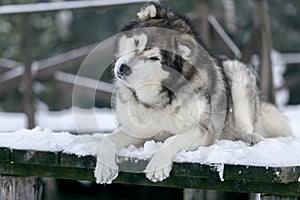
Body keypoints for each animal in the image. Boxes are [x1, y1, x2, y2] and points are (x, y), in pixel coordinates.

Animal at [95, 1, 292, 184]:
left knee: (245, 127)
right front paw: (104, 168)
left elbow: (171, 140)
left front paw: (157, 166)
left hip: (237, 75)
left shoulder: (203, 131)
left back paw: (252, 137)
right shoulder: (138, 130)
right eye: (137, 42)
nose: (123, 68)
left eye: (154, 58)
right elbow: (108, 139)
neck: (159, 97)